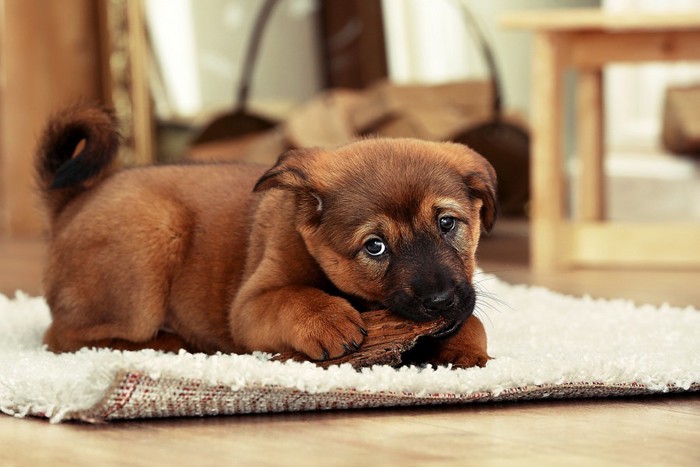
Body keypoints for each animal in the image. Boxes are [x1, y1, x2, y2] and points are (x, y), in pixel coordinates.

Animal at [35, 106, 494, 370]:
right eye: (375, 246)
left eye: (447, 224)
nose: (439, 302)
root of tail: (73, 201)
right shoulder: (250, 306)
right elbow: (293, 297)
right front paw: (328, 319)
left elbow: (473, 319)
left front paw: (464, 348)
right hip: (149, 244)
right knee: (63, 337)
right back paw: (171, 343)